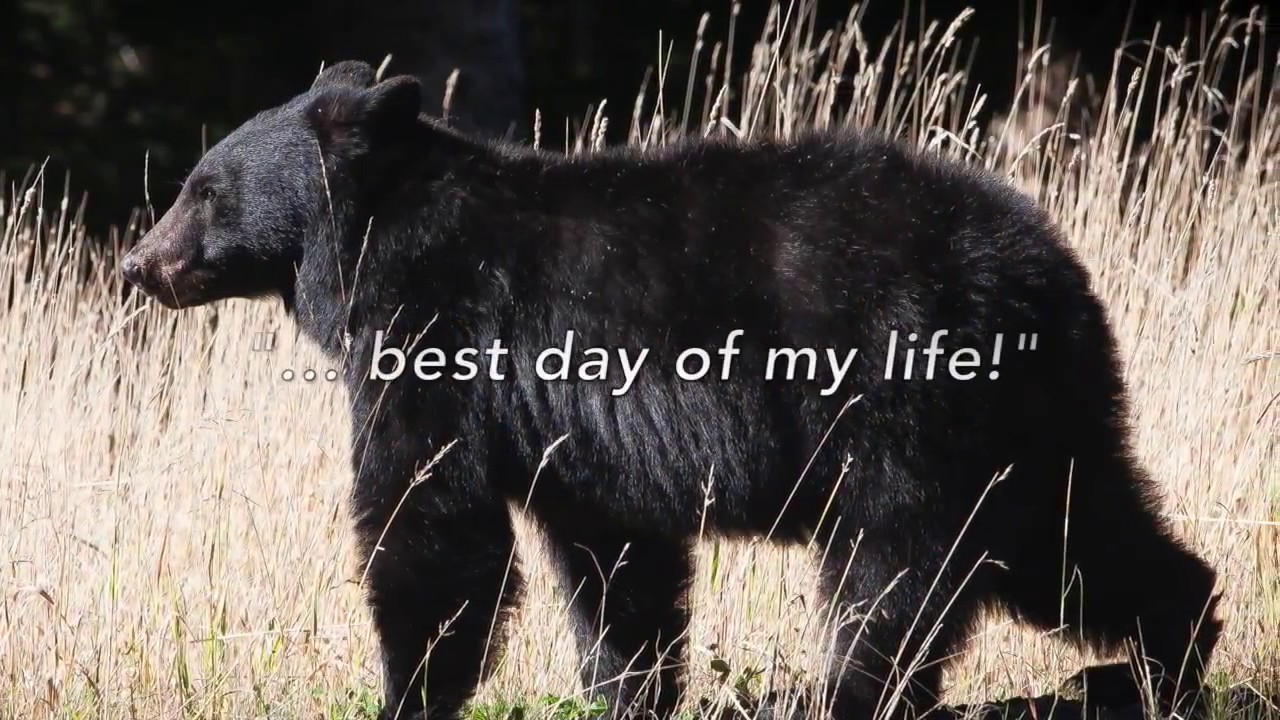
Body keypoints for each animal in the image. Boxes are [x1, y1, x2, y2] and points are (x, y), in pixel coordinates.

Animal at [120, 60, 1222, 720]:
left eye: (202, 188)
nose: (139, 264)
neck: (368, 244)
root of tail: (1034, 267)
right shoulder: (577, 438)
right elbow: (616, 566)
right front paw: (629, 689)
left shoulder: (438, 343)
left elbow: (432, 523)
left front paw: (408, 690)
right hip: (1037, 413)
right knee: (1079, 533)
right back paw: (1167, 651)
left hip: (903, 398)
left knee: (898, 567)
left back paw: (843, 690)